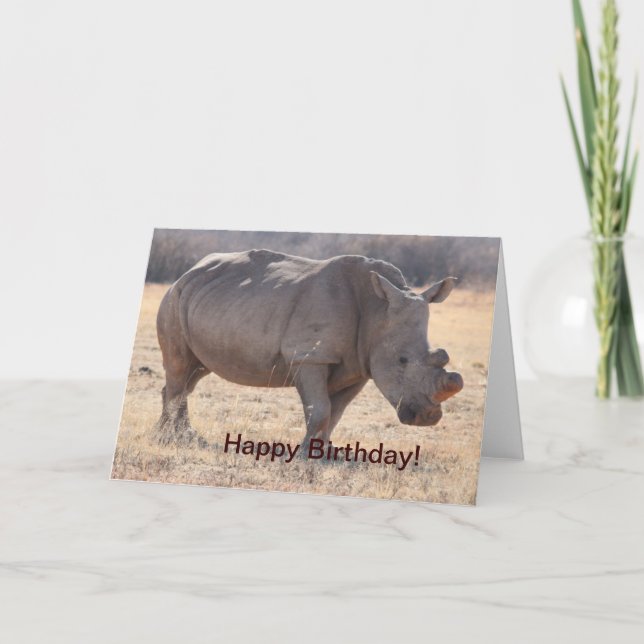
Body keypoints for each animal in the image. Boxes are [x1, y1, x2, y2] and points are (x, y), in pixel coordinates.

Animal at [154, 249, 464, 447]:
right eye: (402, 360)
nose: (428, 418)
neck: (377, 310)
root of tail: (189, 271)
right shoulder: (310, 356)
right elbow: (321, 410)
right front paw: (304, 455)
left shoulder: (360, 365)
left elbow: (336, 413)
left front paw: (323, 453)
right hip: (174, 298)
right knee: (179, 367)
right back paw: (169, 439)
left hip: (204, 300)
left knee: (194, 372)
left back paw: (183, 436)